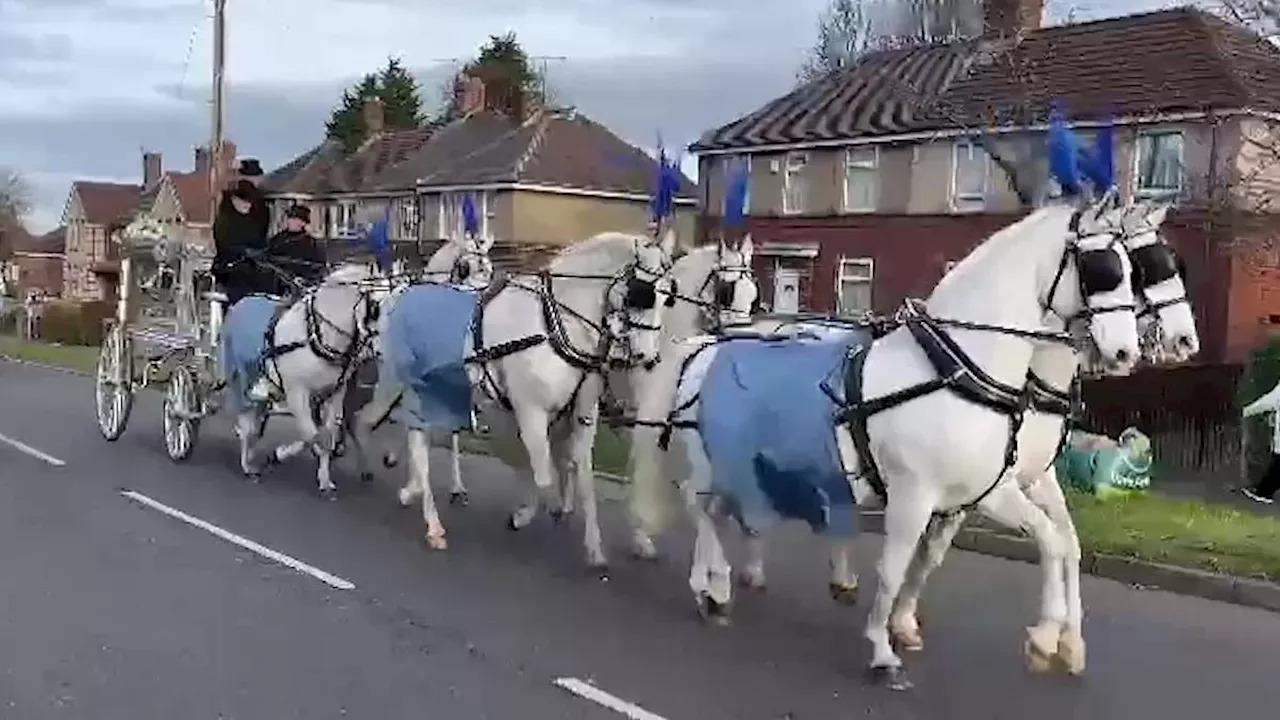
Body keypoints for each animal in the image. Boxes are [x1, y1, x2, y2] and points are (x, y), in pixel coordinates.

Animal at [217, 260, 386, 497]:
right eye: (377, 307)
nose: (385, 350)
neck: (317, 335)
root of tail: (239, 303)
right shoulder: (297, 391)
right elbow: (310, 434)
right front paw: (280, 454)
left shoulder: (335, 393)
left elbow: (326, 435)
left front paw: (325, 479)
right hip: (239, 374)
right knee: (245, 417)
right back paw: (247, 462)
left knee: (255, 417)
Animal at [355, 229, 680, 566]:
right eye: (641, 294)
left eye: (669, 295)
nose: (648, 357)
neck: (555, 325)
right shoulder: (530, 412)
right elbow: (541, 474)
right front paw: (528, 513)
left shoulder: (580, 417)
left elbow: (581, 479)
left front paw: (593, 546)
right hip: (398, 383)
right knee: (377, 425)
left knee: (417, 439)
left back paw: (415, 492)